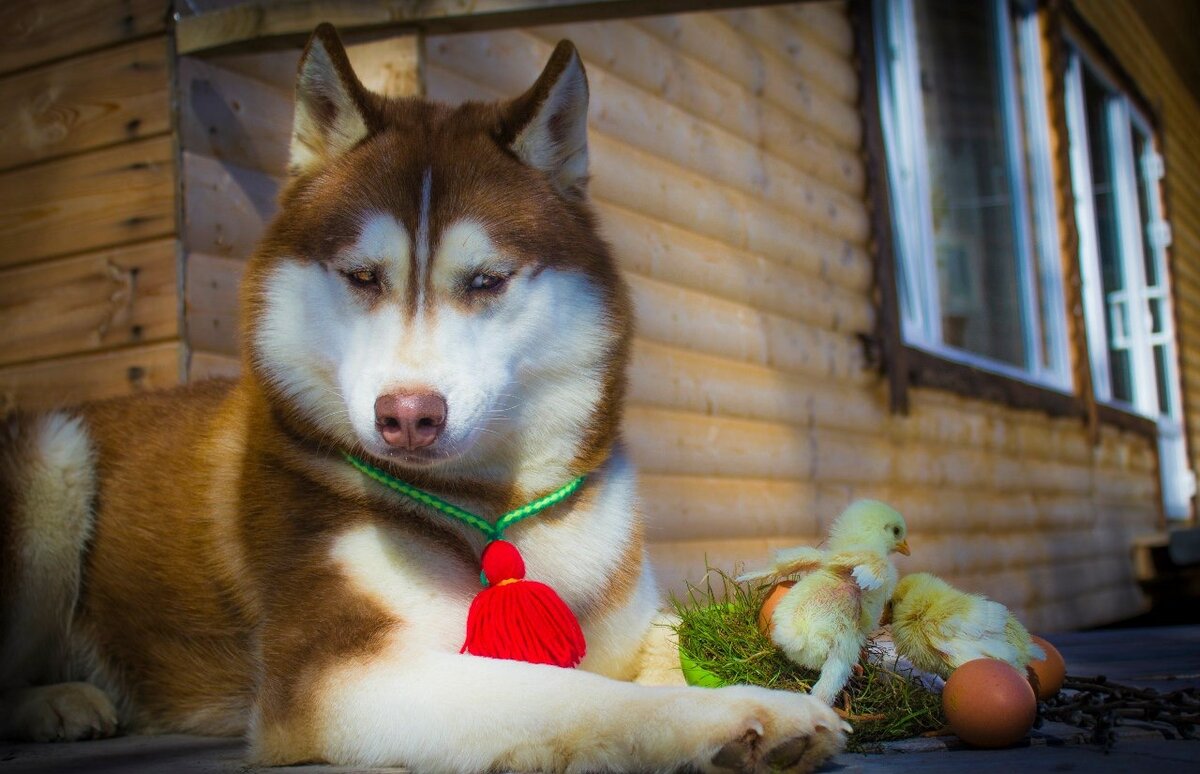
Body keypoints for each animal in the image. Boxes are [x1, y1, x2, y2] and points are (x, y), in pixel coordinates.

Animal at [0, 22, 844, 768]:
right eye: (361, 276)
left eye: (488, 280)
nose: (407, 417)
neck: (497, 507)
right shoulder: (337, 677)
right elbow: (566, 693)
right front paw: (747, 715)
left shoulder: (626, 617)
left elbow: (676, 641)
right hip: (53, 460)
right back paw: (55, 701)